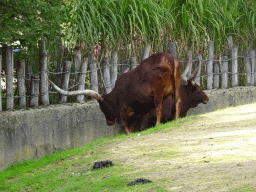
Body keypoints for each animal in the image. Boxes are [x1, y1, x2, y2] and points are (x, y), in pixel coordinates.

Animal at [49, 51, 182, 134]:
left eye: (101, 107)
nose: (109, 122)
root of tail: (169, 58)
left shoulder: (123, 108)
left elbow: (124, 124)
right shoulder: (138, 110)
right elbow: (133, 125)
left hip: (158, 92)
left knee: (159, 107)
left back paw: (157, 125)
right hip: (175, 87)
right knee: (177, 101)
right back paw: (176, 119)